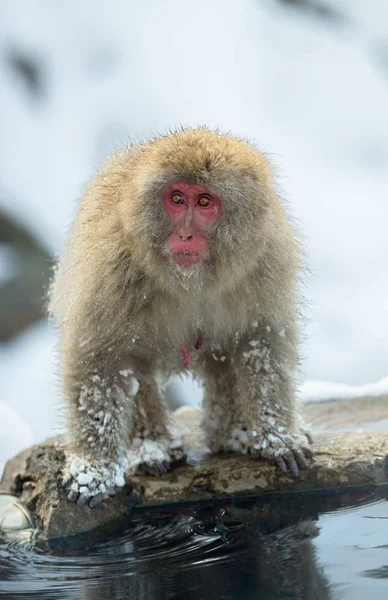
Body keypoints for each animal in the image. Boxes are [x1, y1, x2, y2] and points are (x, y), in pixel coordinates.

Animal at [50, 126, 312, 506]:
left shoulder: (267, 258)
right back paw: (151, 448)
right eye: (176, 199)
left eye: (204, 202)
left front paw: (277, 437)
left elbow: (262, 341)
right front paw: (94, 469)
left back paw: (233, 435)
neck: (192, 279)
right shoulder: (111, 265)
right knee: (134, 368)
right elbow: (98, 358)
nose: (185, 234)